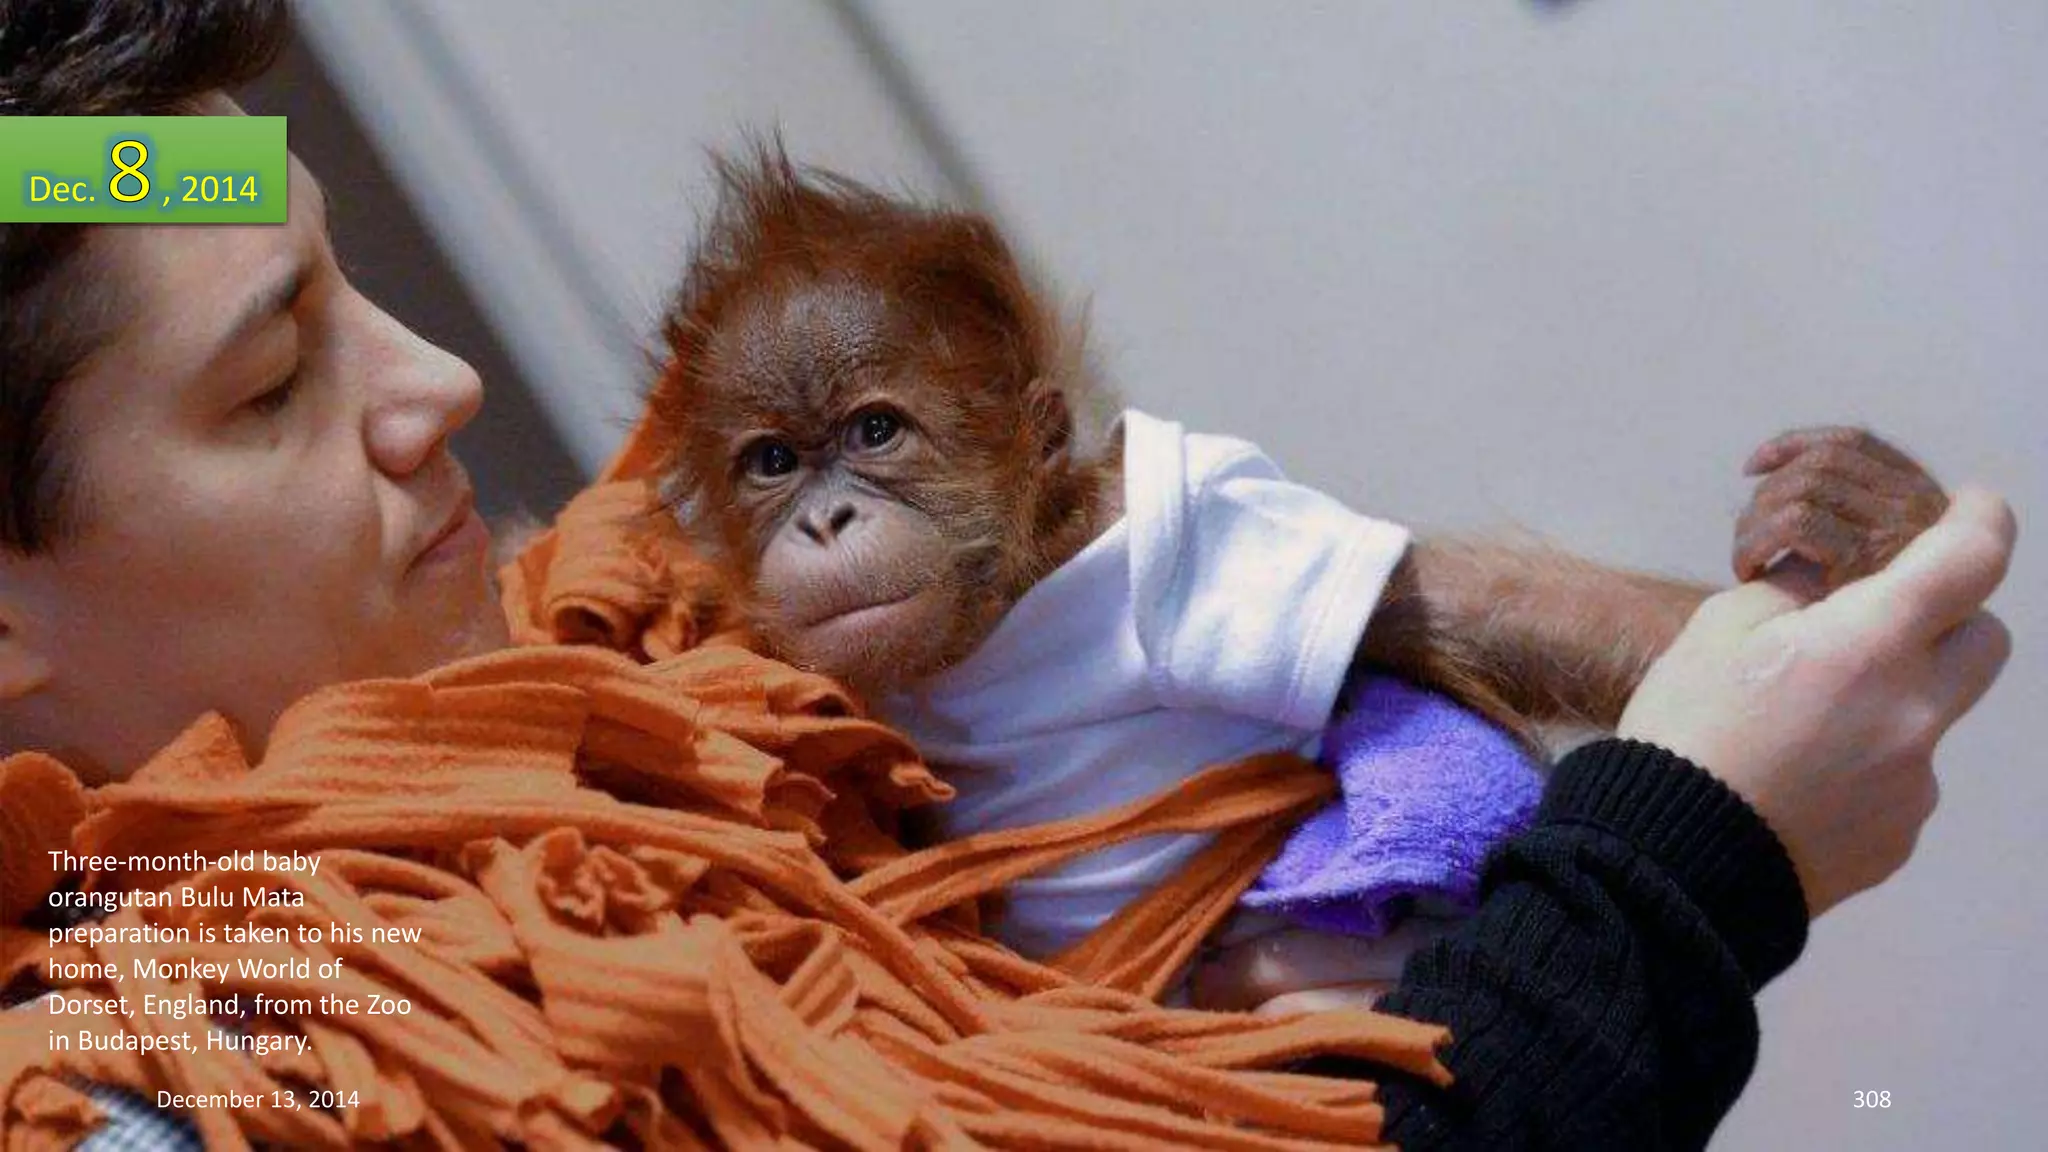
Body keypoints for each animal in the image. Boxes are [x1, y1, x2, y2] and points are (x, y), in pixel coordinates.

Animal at [648, 143, 1949, 1010]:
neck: (1000, 610)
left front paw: (1874, 521)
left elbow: (1488, 607)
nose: (824, 518)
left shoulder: (1205, 540)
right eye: (771, 461)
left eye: (874, 432)